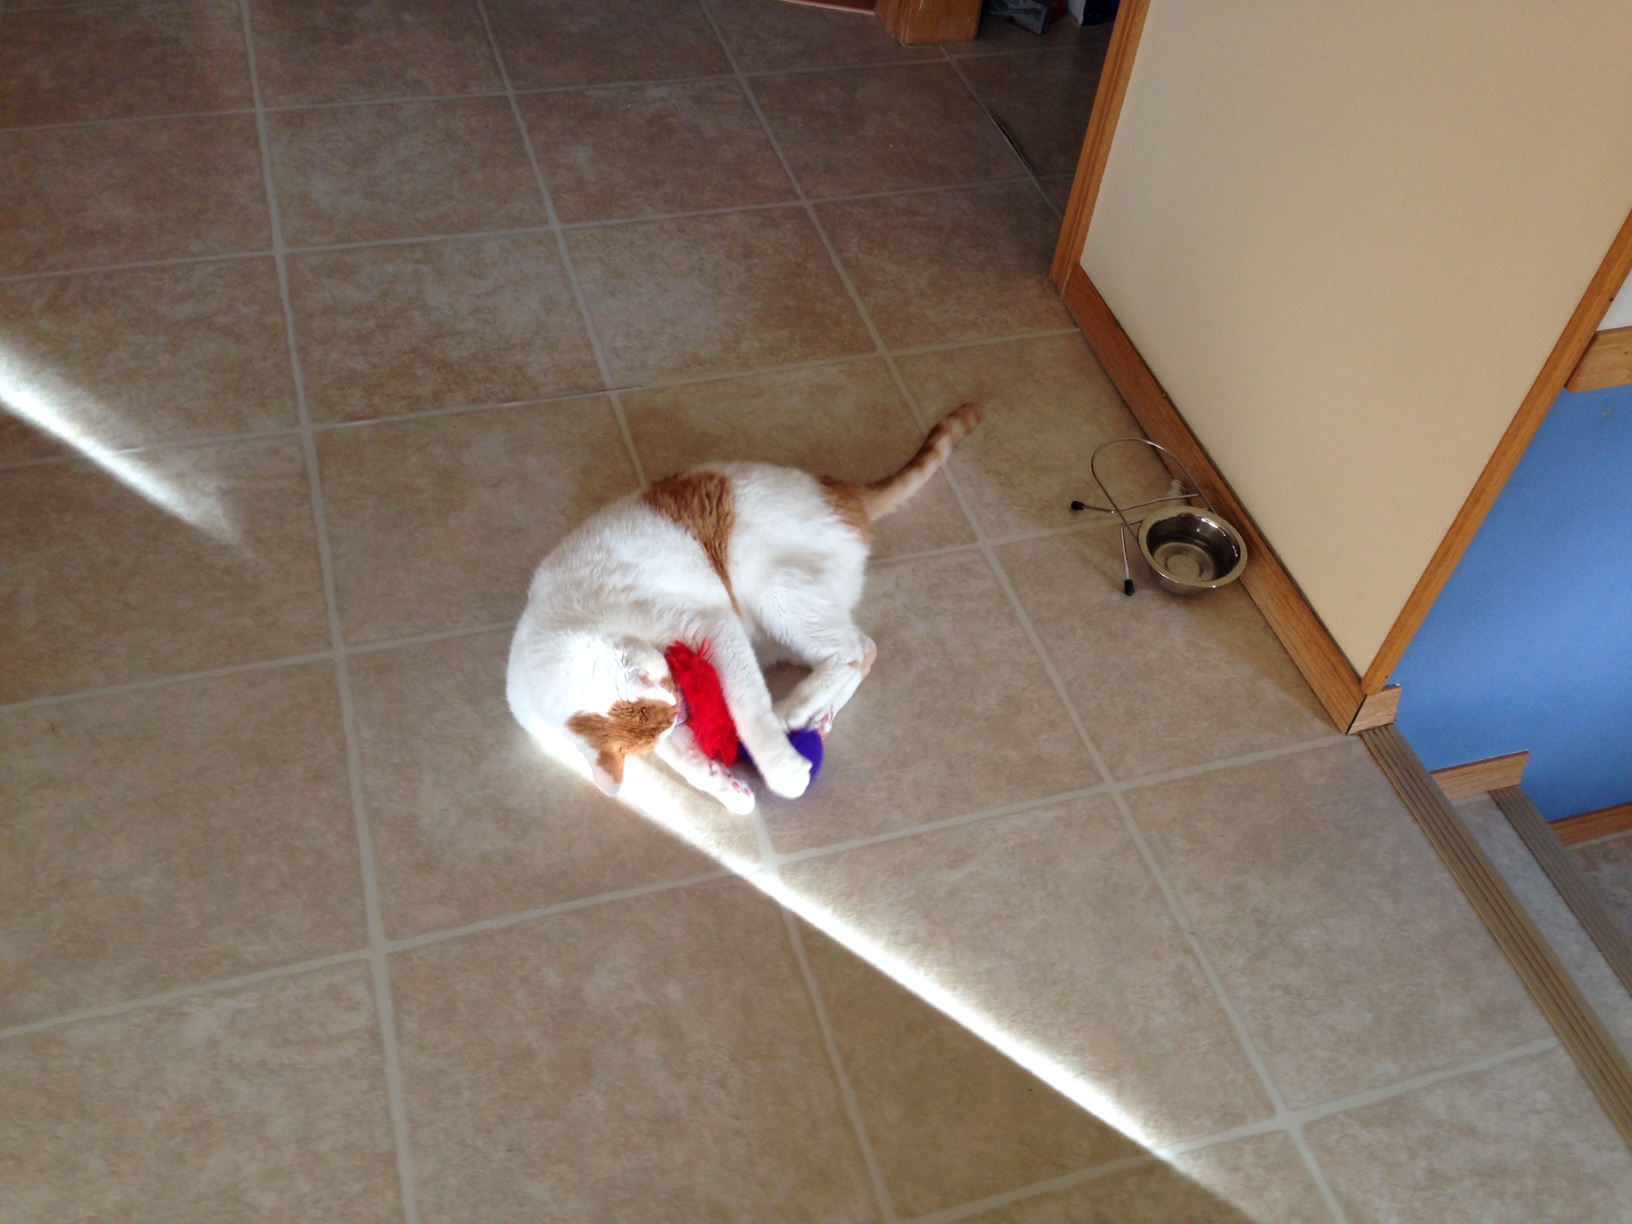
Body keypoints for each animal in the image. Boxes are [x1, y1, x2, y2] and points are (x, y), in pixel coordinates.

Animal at [507, 401, 982, 814]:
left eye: (673, 687)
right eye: (670, 717)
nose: (684, 711)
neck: (559, 622)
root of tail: (839, 490)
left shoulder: (712, 626)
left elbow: (748, 710)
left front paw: (783, 772)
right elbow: (686, 763)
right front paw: (725, 789)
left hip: (767, 586)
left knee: (853, 649)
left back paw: (792, 710)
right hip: (786, 630)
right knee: (859, 650)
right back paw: (817, 716)